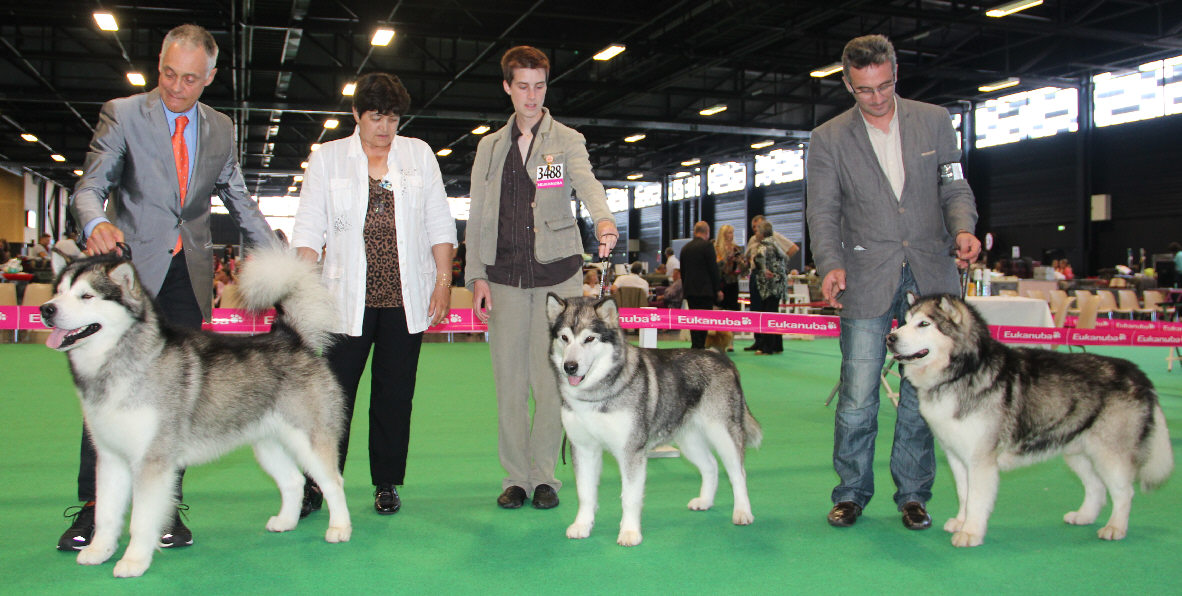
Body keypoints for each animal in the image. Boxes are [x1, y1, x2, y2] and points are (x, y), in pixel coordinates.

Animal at [42, 248, 354, 577]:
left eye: (86, 296)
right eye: (58, 291)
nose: (46, 309)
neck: (120, 365)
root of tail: (290, 338)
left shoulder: (152, 461)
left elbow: (141, 519)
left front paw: (133, 561)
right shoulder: (111, 458)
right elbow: (106, 513)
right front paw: (99, 551)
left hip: (308, 439)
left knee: (333, 482)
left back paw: (340, 528)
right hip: (267, 444)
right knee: (293, 480)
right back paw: (285, 522)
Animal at [546, 295, 765, 546]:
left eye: (589, 338)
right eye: (564, 338)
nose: (570, 366)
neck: (595, 394)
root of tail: (719, 356)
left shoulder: (631, 451)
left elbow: (630, 496)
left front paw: (630, 532)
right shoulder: (583, 448)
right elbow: (585, 493)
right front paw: (582, 525)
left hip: (723, 434)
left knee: (738, 474)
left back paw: (743, 512)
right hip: (689, 440)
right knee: (711, 466)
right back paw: (705, 501)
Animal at [888, 290, 1172, 546]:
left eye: (924, 324)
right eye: (905, 321)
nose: (890, 337)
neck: (962, 372)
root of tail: (1139, 374)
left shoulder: (981, 459)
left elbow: (977, 498)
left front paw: (970, 532)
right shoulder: (956, 455)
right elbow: (964, 493)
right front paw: (961, 521)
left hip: (1110, 453)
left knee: (1124, 493)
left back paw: (1115, 528)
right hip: (1078, 451)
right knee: (1097, 488)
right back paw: (1084, 516)